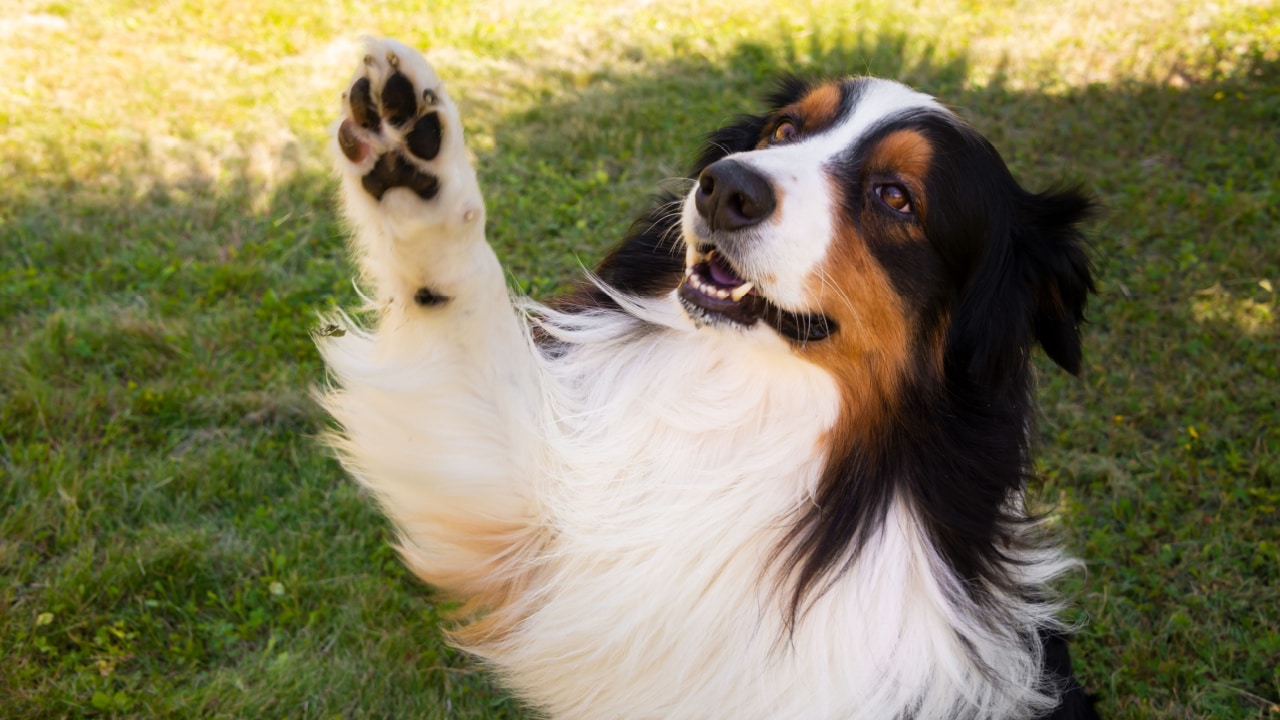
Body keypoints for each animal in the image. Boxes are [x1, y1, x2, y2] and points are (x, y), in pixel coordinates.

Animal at [317, 37, 1100, 717]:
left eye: (896, 197)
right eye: (785, 129)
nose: (727, 187)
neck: (754, 403)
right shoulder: (544, 543)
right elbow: (459, 320)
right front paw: (410, 169)